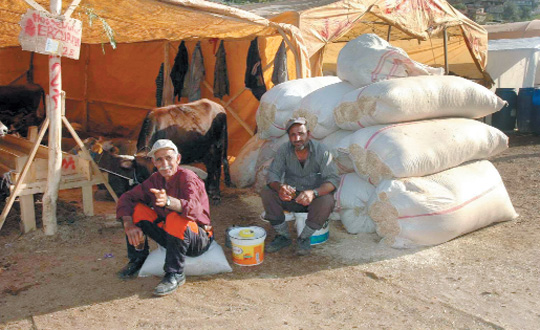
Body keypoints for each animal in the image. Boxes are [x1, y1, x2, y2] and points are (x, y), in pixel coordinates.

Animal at [93, 99, 232, 204]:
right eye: (140, 175)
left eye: (151, 174)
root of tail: (219, 106)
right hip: (206, 150)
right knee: (210, 168)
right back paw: (208, 191)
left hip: (218, 147)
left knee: (217, 168)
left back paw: (216, 195)